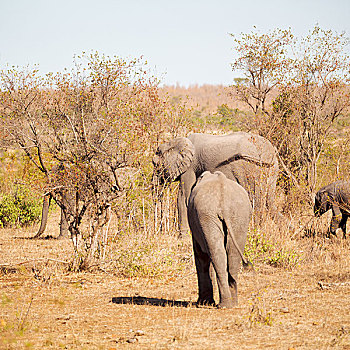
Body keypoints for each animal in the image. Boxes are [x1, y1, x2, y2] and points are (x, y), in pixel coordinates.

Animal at [187, 171, 253, 308]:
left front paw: (204, 303)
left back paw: (224, 305)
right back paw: (232, 303)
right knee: (232, 257)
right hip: (238, 215)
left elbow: (200, 255)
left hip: (208, 215)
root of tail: (224, 204)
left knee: (218, 255)